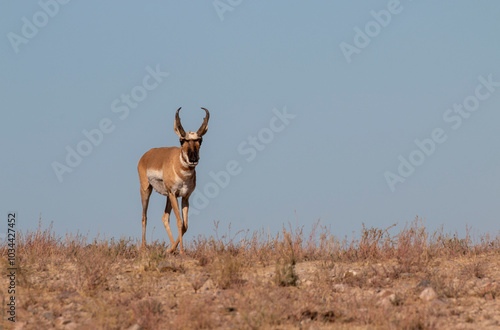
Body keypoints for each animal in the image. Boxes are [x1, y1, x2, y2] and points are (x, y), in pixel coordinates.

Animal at [137, 107, 209, 254]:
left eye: (200, 140)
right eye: (182, 140)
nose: (193, 159)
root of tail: (147, 154)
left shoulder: (185, 197)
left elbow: (185, 225)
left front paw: (173, 250)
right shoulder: (174, 194)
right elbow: (179, 222)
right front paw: (181, 252)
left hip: (167, 197)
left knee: (164, 218)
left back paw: (170, 249)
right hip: (147, 190)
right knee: (144, 217)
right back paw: (144, 247)